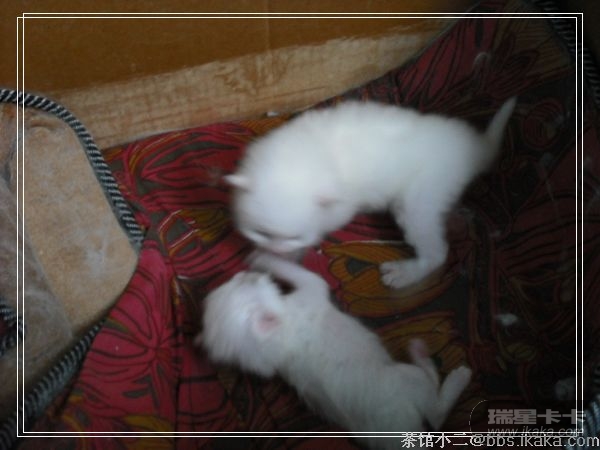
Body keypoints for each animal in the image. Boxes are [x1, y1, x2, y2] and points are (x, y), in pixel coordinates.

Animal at [197, 253, 472, 448]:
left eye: (238, 281)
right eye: (245, 282)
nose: (244, 274)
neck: (272, 340)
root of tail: (404, 438)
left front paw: (258, 257)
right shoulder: (312, 291)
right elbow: (301, 274)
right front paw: (264, 257)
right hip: (407, 380)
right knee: (436, 414)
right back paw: (439, 364)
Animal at [226, 98, 516, 289]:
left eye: (295, 237)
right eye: (260, 232)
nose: (275, 250)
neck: (297, 156)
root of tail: (472, 145)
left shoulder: (340, 207)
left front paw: (283, 258)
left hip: (420, 196)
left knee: (438, 251)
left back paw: (405, 273)